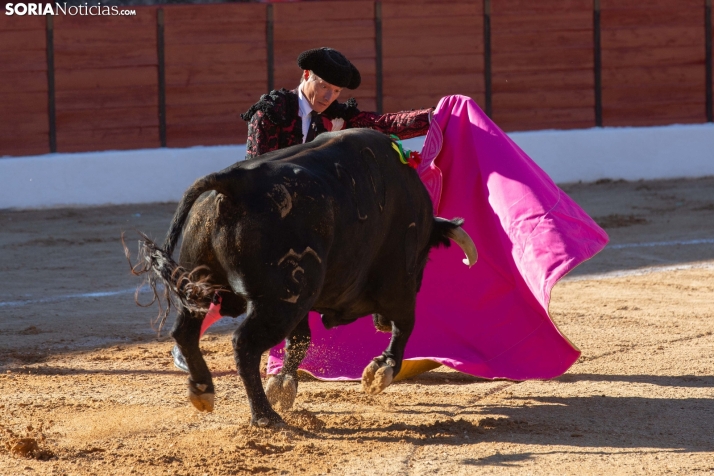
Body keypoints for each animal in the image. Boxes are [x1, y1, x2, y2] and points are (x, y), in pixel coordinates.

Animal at [126, 128, 476, 426]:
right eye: (425, 257)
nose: (380, 323)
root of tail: (235, 182)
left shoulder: (305, 301)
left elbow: (300, 341)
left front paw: (283, 385)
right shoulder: (397, 284)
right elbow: (406, 325)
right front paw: (381, 371)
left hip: (213, 284)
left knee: (186, 331)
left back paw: (203, 390)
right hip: (280, 301)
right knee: (244, 344)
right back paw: (266, 417)